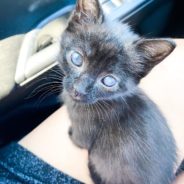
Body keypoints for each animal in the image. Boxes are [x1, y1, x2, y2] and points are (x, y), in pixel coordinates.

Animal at [59, 0, 177, 183]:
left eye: (108, 81)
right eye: (76, 58)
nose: (79, 90)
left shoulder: (84, 130)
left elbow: (78, 141)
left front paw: (70, 134)